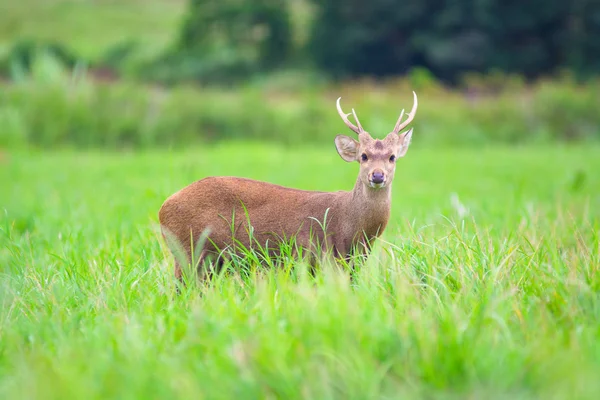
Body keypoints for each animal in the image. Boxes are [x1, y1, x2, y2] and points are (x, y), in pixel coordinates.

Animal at [158, 92, 418, 282]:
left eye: (392, 157)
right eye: (363, 156)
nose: (377, 175)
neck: (351, 226)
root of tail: (162, 209)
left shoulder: (352, 264)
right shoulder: (311, 254)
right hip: (189, 251)